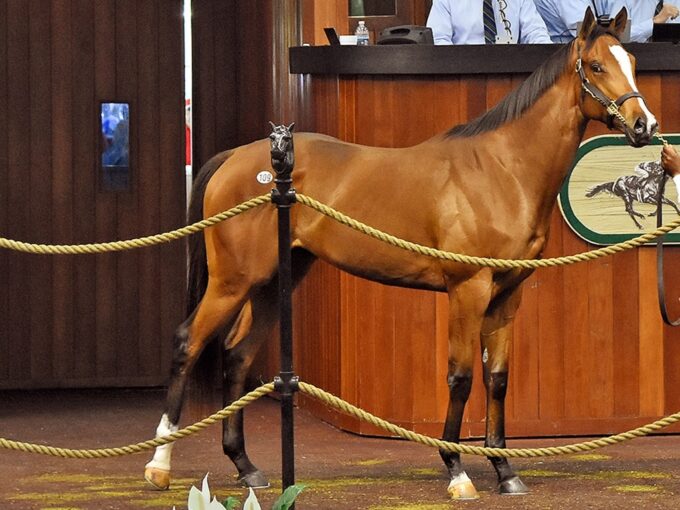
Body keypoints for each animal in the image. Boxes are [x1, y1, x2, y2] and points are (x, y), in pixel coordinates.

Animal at [145, 6, 660, 502]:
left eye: (633, 63)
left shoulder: (507, 296)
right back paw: (159, 465)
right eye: (596, 65)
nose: (645, 126)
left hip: (273, 283)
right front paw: (456, 471)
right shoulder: (468, 290)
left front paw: (506, 472)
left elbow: (497, 379)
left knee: (237, 355)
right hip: (232, 282)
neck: (501, 170)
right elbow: (460, 377)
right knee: (188, 344)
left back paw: (245, 466)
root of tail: (234, 158)